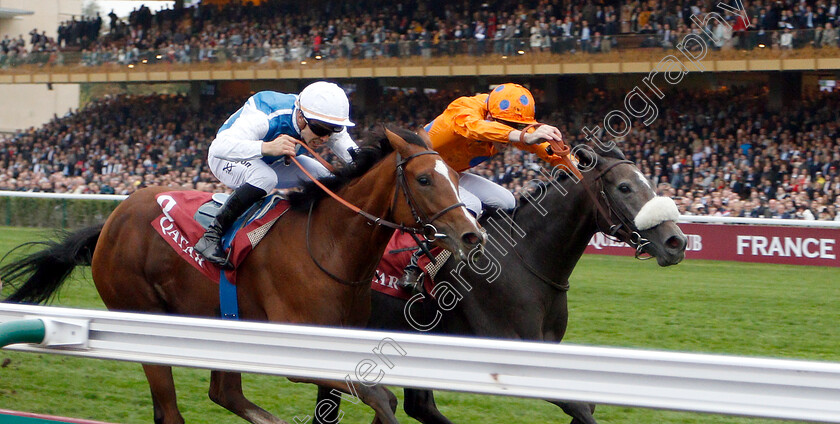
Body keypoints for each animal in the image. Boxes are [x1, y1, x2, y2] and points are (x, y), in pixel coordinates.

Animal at [0, 128, 482, 424]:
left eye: (457, 176)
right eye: (424, 179)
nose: (470, 234)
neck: (329, 244)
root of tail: (111, 221)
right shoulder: (297, 353)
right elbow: (383, 398)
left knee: (224, 393)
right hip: (139, 316)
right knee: (171, 411)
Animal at [316, 145, 688, 424]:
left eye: (650, 181)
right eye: (624, 187)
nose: (677, 241)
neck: (524, 258)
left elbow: (585, 404)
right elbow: (580, 406)